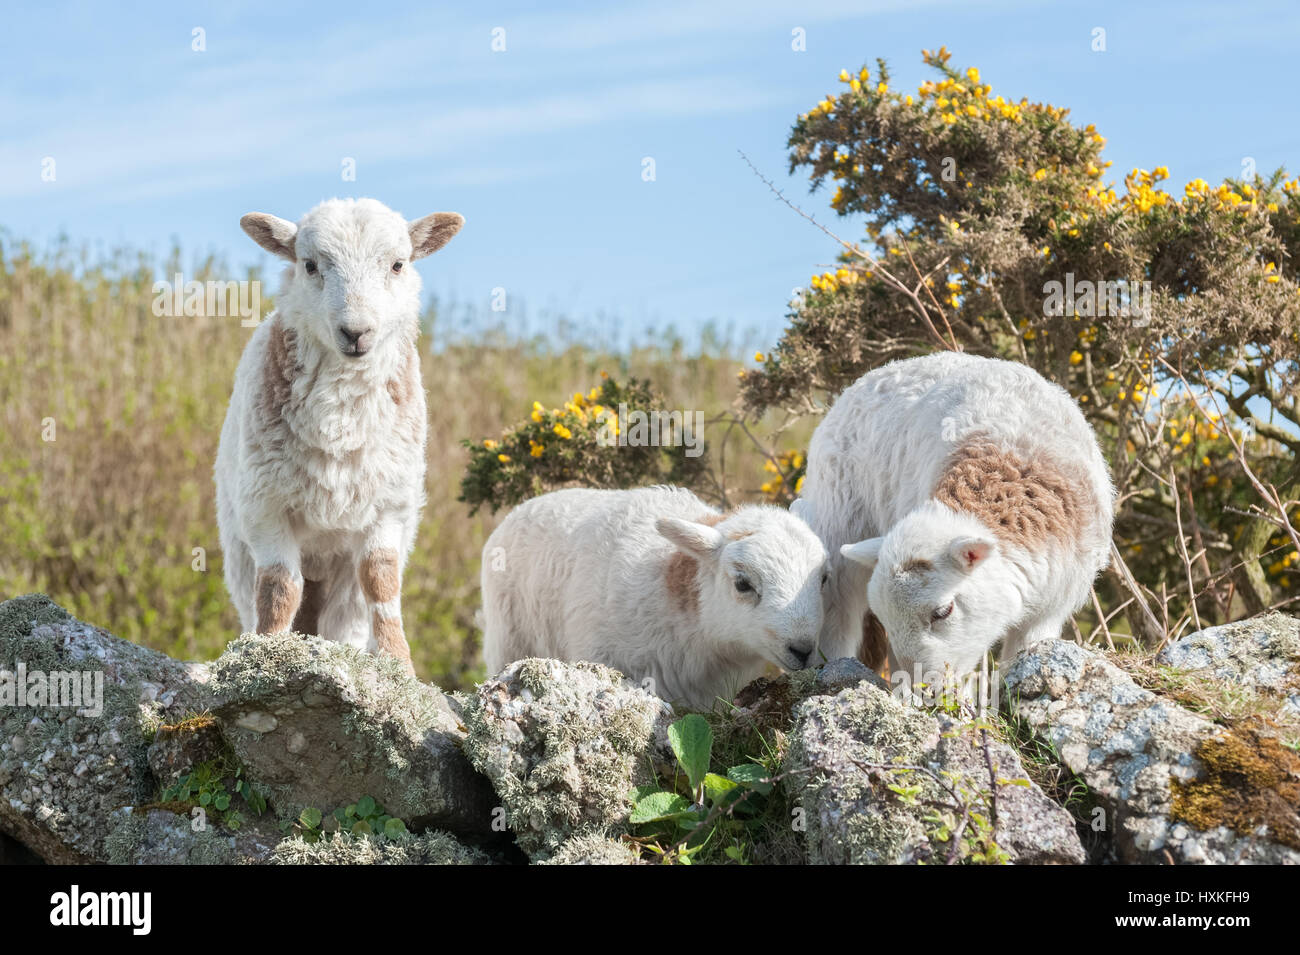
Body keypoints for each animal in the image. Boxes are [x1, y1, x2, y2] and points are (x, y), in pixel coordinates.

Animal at [218, 196, 467, 670]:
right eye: (310, 265)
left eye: (398, 265)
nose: (356, 332)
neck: (340, 413)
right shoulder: (265, 506)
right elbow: (278, 588)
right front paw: (264, 651)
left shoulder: (388, 505)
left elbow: (380, 582)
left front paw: (398, 661)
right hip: (239, 555)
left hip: (341, 585)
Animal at [795, 353, 1112, 680]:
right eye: (885, 616)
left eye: (942, 612)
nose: (922, 686)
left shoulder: (1050, 607)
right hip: (839, 522)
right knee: (838, 613)